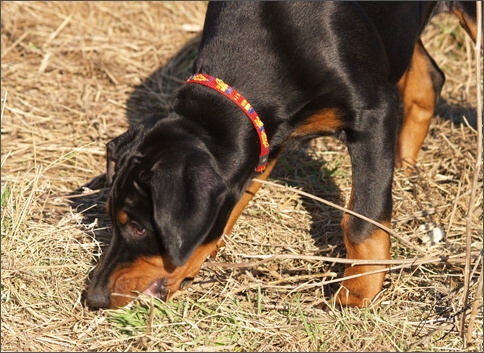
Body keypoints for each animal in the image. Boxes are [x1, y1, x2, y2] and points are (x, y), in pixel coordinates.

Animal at [86, 2, 476, 308]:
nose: (94, 298)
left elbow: (362, 218)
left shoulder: (374, 112)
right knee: (429, 77)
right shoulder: (266, 137)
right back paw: (404, 167)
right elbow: (238, 199)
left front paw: (358, 293)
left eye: (138, 226)